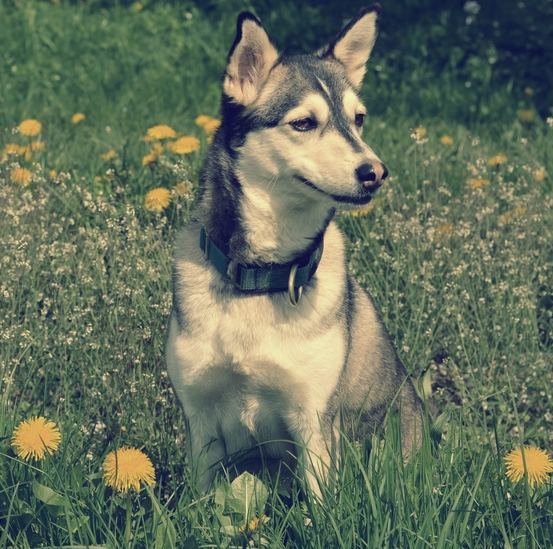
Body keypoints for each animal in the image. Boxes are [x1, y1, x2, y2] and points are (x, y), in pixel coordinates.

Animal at [166, 4, 424, 494]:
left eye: (358, 119)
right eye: (304, 123)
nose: (376, 172)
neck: (261, 274)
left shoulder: (314, 420)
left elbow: (322, 500)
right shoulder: (200, 417)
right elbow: (203, 496)